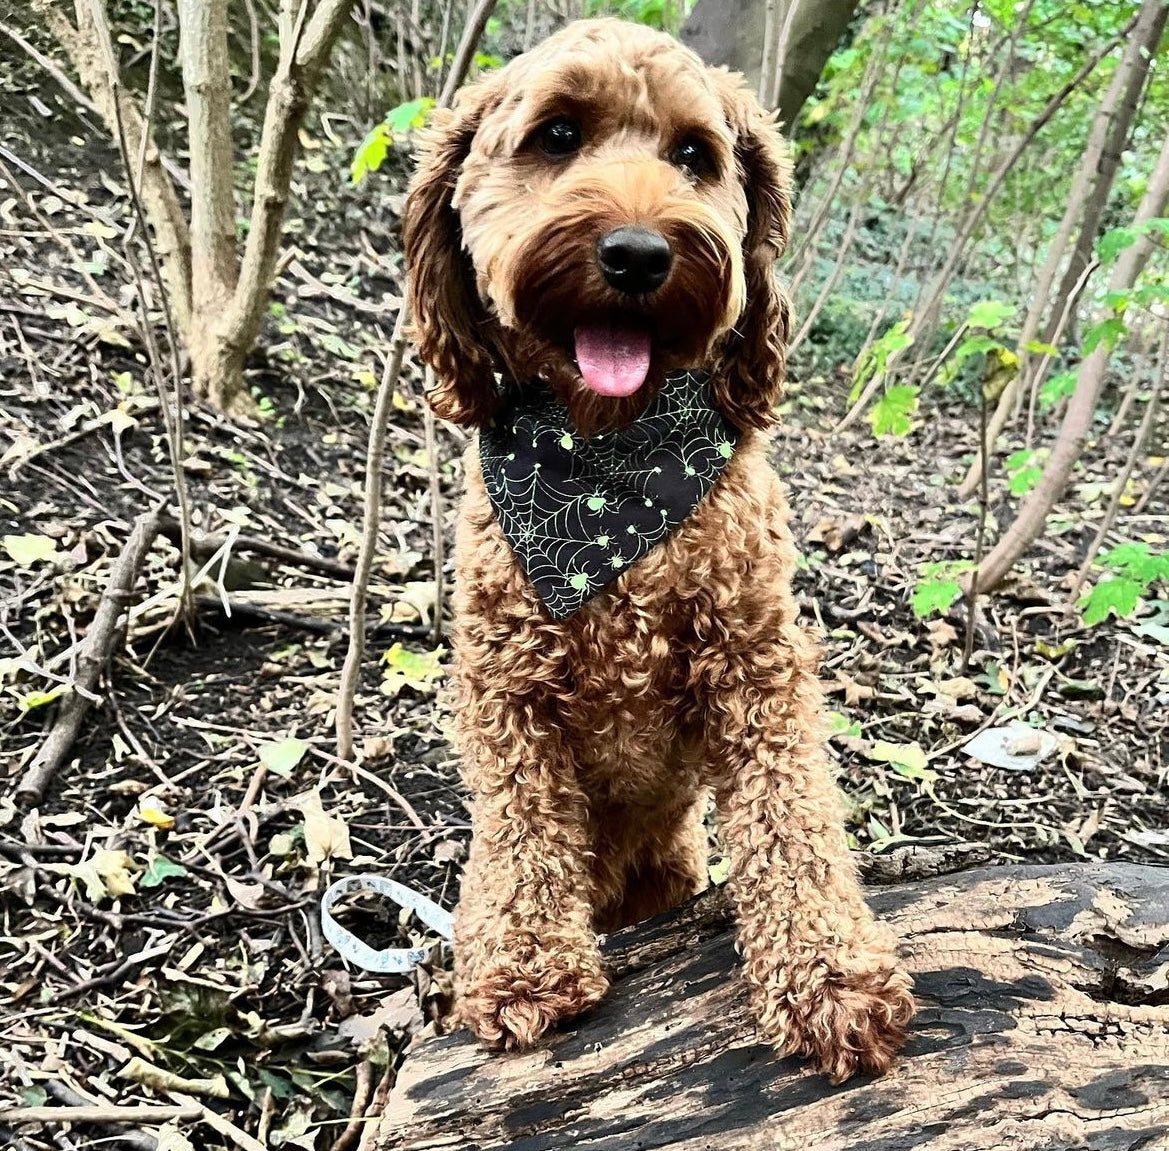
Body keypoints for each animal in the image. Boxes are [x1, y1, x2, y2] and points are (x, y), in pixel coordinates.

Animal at [406, 15, 916, 1079]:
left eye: (694, 156)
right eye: (556, 136)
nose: (638, 253)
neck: (608, 474)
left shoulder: (756, 661)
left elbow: (791, 814)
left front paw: (830, 972)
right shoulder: (504, 685)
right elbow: (519, 825)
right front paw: (522, 962)